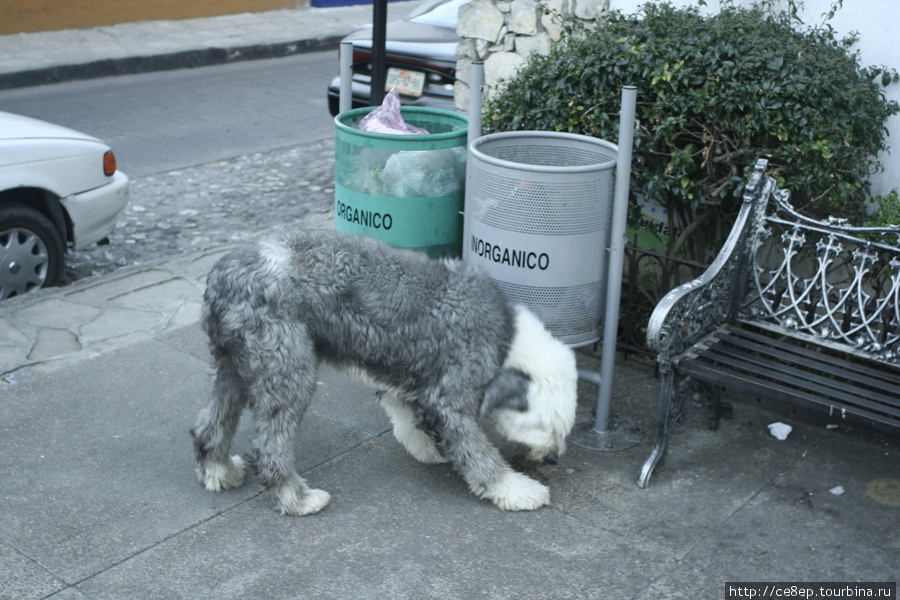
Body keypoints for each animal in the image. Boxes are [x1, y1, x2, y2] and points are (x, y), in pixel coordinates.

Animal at [193, 230, 580, 516]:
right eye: (542, 426)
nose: (553, 458)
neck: (507, 340)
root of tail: (222, 276)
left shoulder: (405, 375)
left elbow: (406, 417)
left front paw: (428, 449)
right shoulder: (452, 395)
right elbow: (477, 451)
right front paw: (517, 490)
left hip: (234, 365)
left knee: (210, 423)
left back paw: (219, 471)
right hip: (287, 368)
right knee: (269, 448)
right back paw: (298, 500)